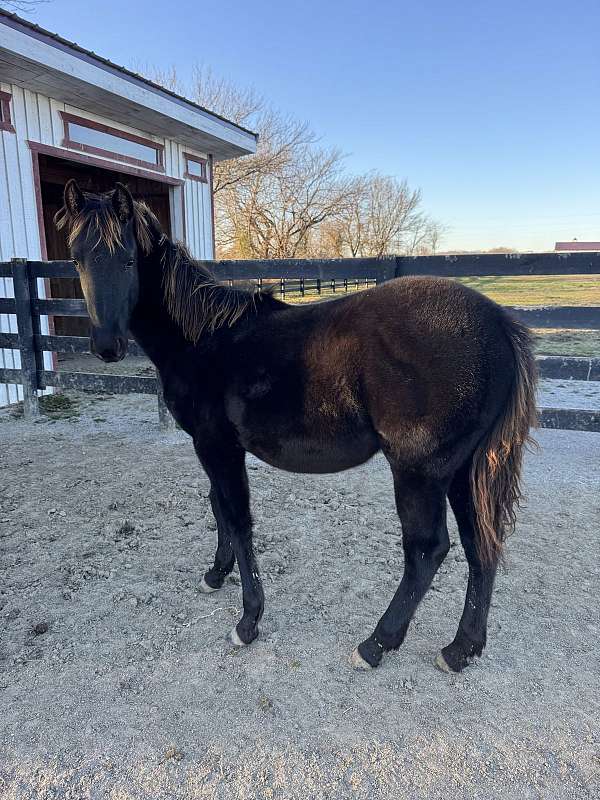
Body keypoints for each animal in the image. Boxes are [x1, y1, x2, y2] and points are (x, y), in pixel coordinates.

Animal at [55, 179, 537, 673]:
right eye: (76, 258)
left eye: (128, 259)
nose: (106, 346)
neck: (203, 338)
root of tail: (499, 325)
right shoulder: (213, 447)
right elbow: (218, 507)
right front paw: (216, 574)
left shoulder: (216, 445)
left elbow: (238, 518)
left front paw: (248, 621)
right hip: (463, 469)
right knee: (481, 544)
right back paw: (461, 648)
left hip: (420, 471)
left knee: (427, 550)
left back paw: (376, 643)